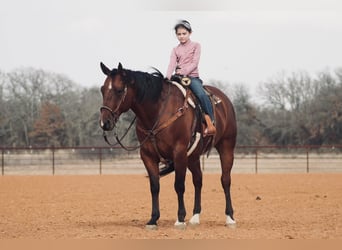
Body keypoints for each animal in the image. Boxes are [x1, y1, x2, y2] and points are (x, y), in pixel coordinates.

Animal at [99, 62, 238, 229]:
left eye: (119, 90)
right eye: (102, 89)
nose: (105, 122)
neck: (158, 112)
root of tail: (225, 101)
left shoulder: (179, 153)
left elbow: (179, 185)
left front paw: (180, 218)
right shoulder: (147, 155)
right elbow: (154, 186)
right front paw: (153, 219)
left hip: (226, 147)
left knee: (225, 180)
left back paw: (230, 217)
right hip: (193, 157)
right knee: (198, 180)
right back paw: (195, 217)